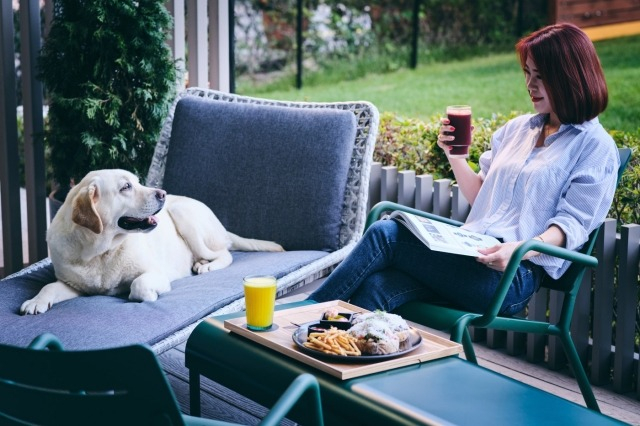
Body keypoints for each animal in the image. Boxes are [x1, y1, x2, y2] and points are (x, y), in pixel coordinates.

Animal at [19, 168, 282, 314]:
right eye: (126, 187)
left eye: (137, 181)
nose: (162, 193)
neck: (98, 252)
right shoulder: (75, 286)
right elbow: (49, 287)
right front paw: (35, 301)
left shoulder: (156, 274)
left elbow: (139, 285)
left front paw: (145, 295)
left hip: (183, 214)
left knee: (224, 253)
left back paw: (206, 265)